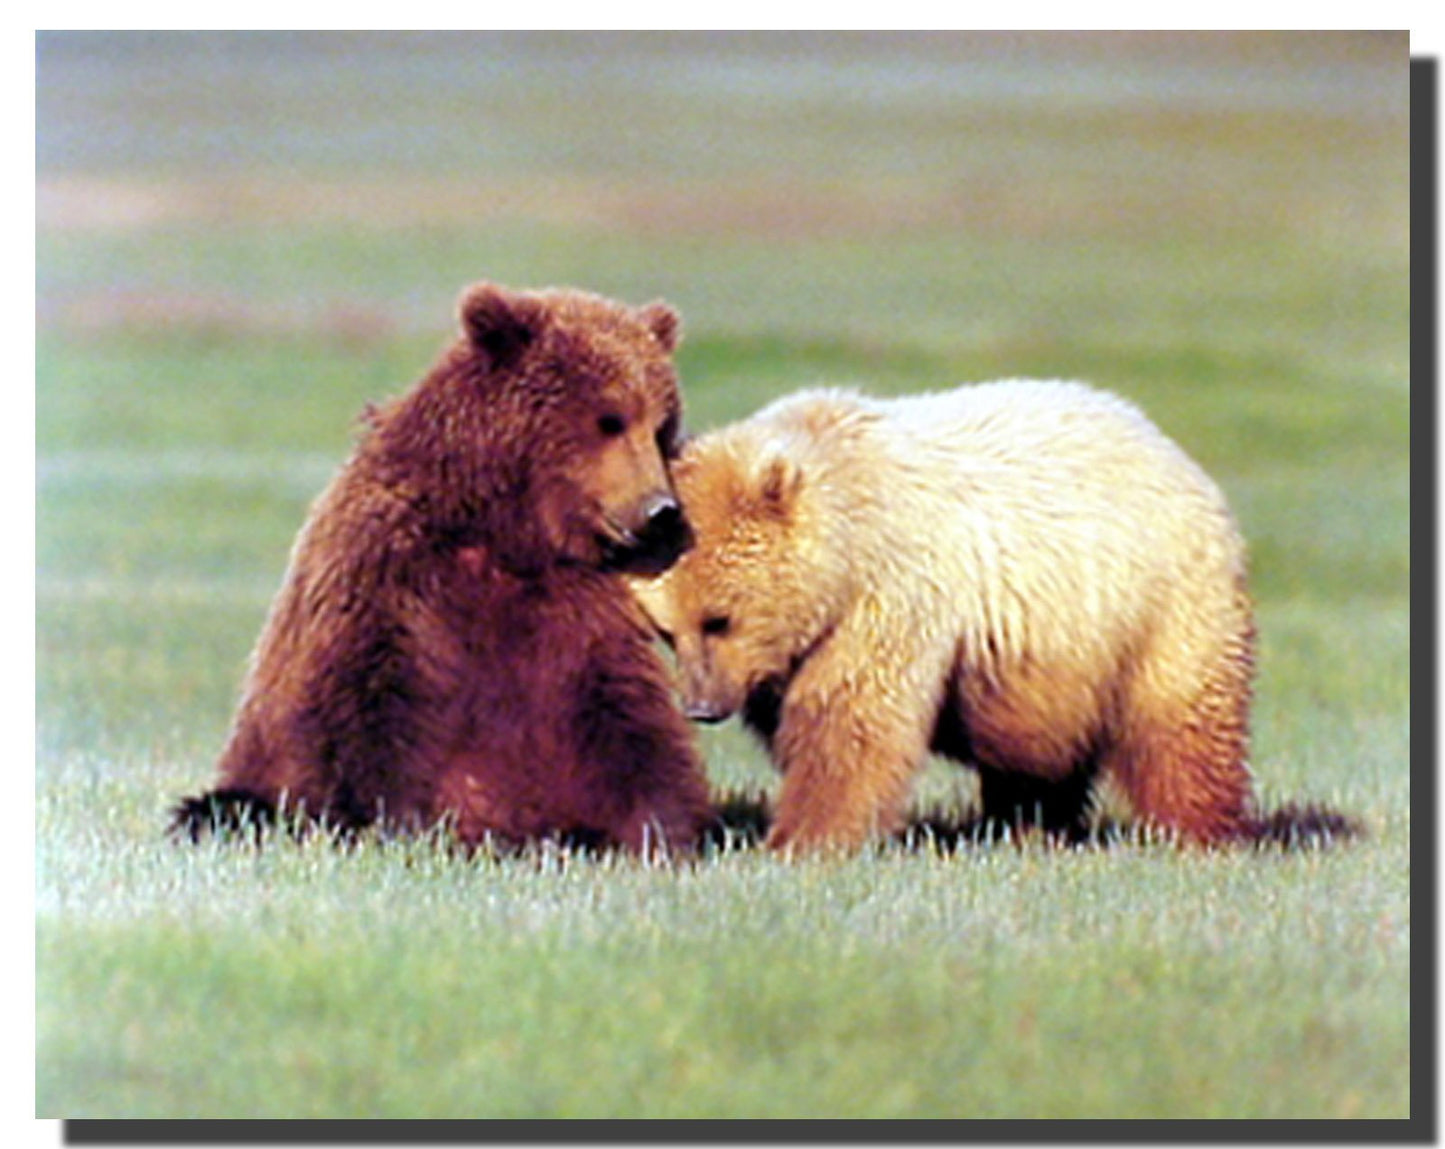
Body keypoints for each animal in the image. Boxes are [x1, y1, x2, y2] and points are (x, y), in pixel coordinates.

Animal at [172, 282, 714, 855]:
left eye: (661, 427)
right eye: (609, 419)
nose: (662, 512)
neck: (503, 532)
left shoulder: (578, 608)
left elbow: (625, 719)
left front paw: (663, 832)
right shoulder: (388, 574)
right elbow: (368, 705)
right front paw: (397, 826)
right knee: (230, 807)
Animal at [631, 380, 1256, 852]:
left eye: (719, 618)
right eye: (666, 631)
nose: (701, 706)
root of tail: (1170, 448)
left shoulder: (890, 594)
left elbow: (852, 720)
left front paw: (804, 839)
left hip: (1158, 606)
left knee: (1180, 724)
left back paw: (1198, 831)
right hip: (1056, 663)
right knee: (1040, 751)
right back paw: (1029, 826)